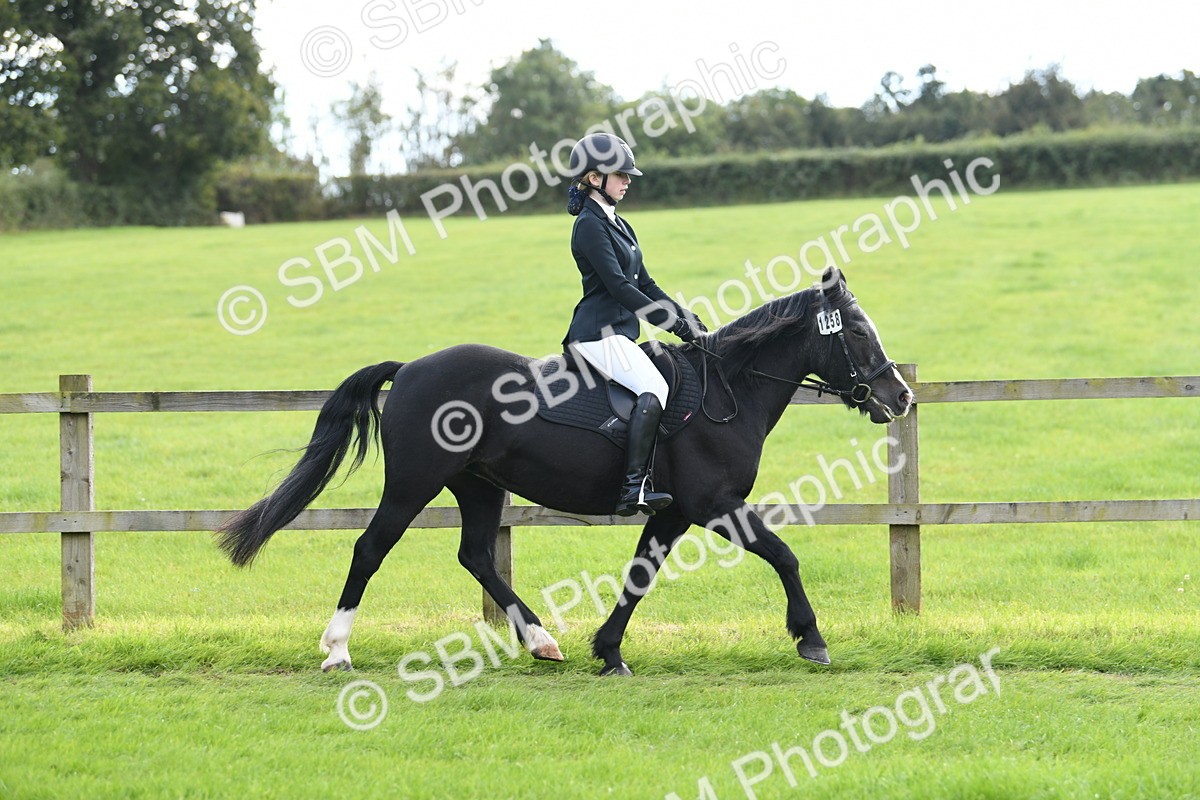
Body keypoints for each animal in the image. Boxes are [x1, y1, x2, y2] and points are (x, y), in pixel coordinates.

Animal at [216, 266, 913, 675]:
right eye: (855, 331)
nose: (900, 396)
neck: (728, 390)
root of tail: (410, 367)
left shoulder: (675, 513)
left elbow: (639, 575)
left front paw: (608, 651)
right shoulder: (713, 504)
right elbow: (785, 556)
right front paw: (811, 639)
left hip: (477, 485)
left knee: (476, 555)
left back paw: (541, 641)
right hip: (414, 483)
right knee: (370, 549)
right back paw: (337, 650)